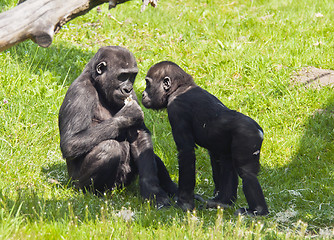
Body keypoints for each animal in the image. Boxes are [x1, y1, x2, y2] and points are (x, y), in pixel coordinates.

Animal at [59, 46, 177, 206]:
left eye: (132, 76)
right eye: (122, 76)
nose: (127, 89)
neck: (97, 85)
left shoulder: (134, 95)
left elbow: (140, 139)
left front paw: (152, 191)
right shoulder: (80, 91)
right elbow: (71, 142)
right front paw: (127, 115)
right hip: (75, 183)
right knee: (109, 148)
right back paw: (92, 193)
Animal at [141, 60, 268, 216]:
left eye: (148, 83)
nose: (143, 94)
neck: (179, 88)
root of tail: (259, 131)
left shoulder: (176, 110)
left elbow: (186, 152)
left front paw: (184, 204)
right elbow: (215, 157)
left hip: (248, 137)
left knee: (247, 173)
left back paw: (258, 210)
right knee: (227, 162)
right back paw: (223, 202)